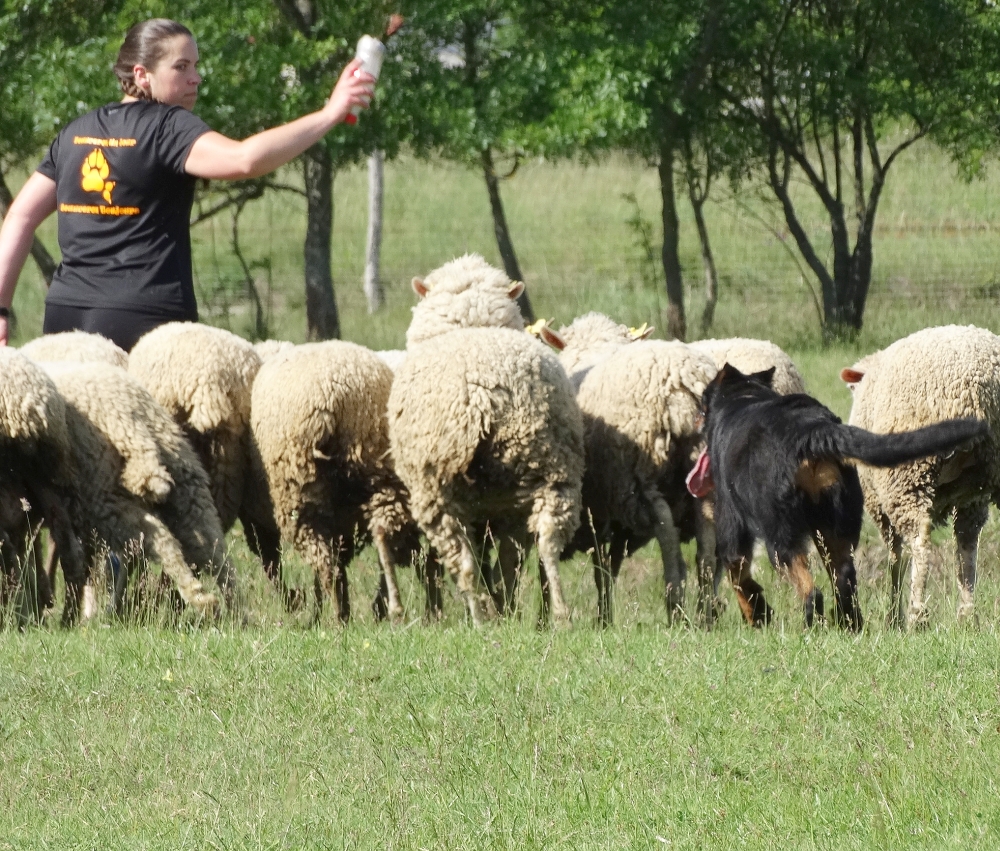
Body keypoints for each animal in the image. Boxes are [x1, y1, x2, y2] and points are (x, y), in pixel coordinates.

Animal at [42, 362, 235, 616]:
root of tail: (129, 420)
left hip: (99, 497)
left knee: (158, 538)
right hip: (188, 482)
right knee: (216, 554)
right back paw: (231, 610)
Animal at [252, 342, 428, 624]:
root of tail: (334, 398)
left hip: (297, 492)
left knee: (325, 563)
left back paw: (338, 618)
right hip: (377, 465)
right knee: (384, 531)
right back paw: (393, 606)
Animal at [386, 262, 584, 628]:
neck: (472, 323)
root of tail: (483, 392)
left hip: (437, 490)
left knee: (464, 562)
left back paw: (482, 620)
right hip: (548, 472)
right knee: (540, 547)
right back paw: (554, 615)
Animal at [688, 362, 984, 628]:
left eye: (702, 404)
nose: (695, 421)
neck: (745, 396)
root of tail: (810, 430)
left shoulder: (731, 526)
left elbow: (739, 577)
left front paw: (758, 615)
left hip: (782, 536)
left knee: (811, 591)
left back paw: (812, 626)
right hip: (838, 528)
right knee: (844, 584)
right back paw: (849, 625)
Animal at [844, 324, 1000, 624]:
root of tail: (975, 390)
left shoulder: (878, 500)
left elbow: (895, 555)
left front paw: (893, 614)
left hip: (908, 476)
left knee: (919, 540)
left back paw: (916, 613)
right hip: (977, 483)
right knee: (966, 543)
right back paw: (966, 614)